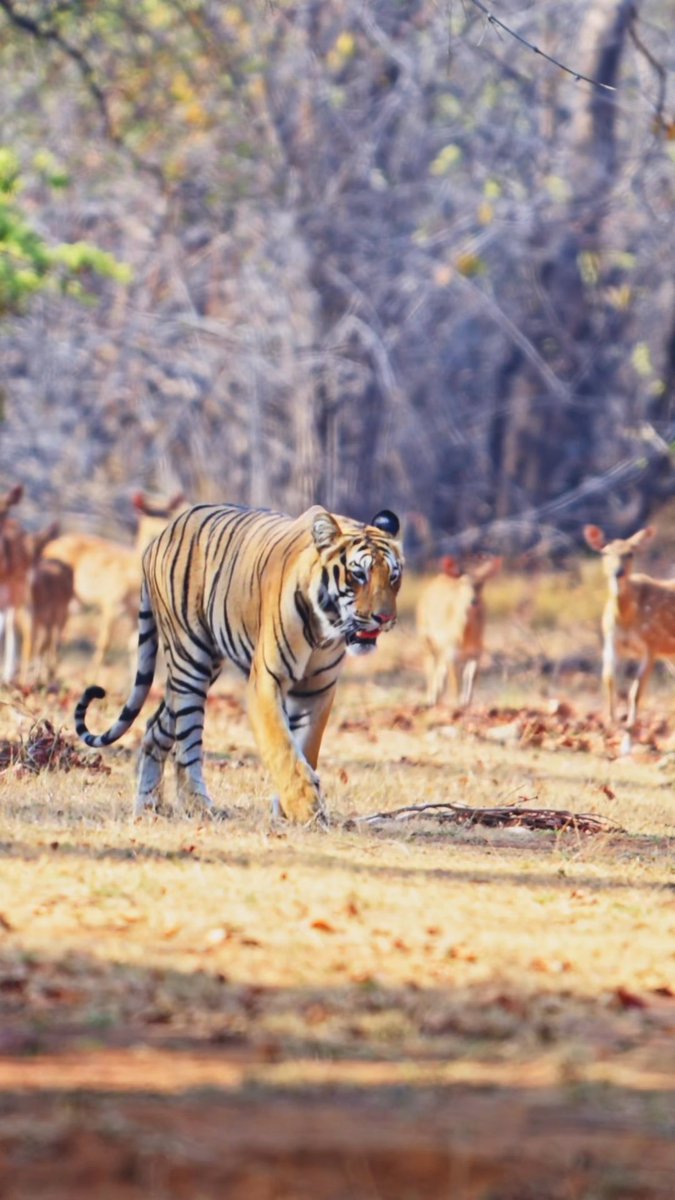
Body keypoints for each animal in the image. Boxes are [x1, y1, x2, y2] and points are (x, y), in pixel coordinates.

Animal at [46, 491, 184, 668]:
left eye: (168, 512)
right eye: (147, 512)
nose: (165, 527)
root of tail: (49, 547)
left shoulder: (134, 610)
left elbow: (135, 646)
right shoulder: (109, 601)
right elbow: (104, 643)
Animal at [75, 503, 403, 823]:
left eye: (393, 577)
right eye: (358, 575)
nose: (385, 618)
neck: (326, 629)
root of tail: (160, 536)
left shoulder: (316, 691)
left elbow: (305, 747)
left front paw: (288, 810)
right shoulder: (266, 680)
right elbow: (282, 747)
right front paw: (305, 808)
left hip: (204, 667)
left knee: (156, 727)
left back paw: (149, 806)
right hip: (190, 660)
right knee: (187, 743)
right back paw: (198, 806)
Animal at [416, 554, 502, 707]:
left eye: (481, 583)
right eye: (463, 583)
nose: (473, 601)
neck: (465, 638)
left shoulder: (477, 652)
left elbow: (470, 675)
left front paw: (466, 701)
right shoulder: (451, 650)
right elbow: (455, 680)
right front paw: (456, 703)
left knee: (440, 668)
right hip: (424, 637)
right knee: (430, 665)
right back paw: (430, 699)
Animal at [584, 524, 675, 751]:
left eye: (630, 553)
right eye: (605, 552)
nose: (619, 572)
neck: (626, 618)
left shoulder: (651, 646)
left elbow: (636, 693)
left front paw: (627, 743)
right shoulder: (611, 642)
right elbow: (608, 678)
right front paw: (612, 724)